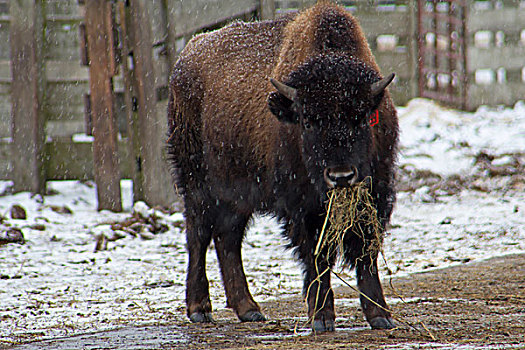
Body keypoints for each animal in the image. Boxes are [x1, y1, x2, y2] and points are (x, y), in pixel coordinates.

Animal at [167, 1, 398, 332]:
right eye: (308, 121)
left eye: (362, 117)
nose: (340, 176)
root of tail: (185, 57)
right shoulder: (303, 207)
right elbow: (317, 257)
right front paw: (322, 318)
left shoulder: (377, 193)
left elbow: (365, 252)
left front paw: (381, 315)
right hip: (196, 184)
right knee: (198, 236)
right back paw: (200, 308)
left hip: (237, 195)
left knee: (227, 239)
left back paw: (249, 309)